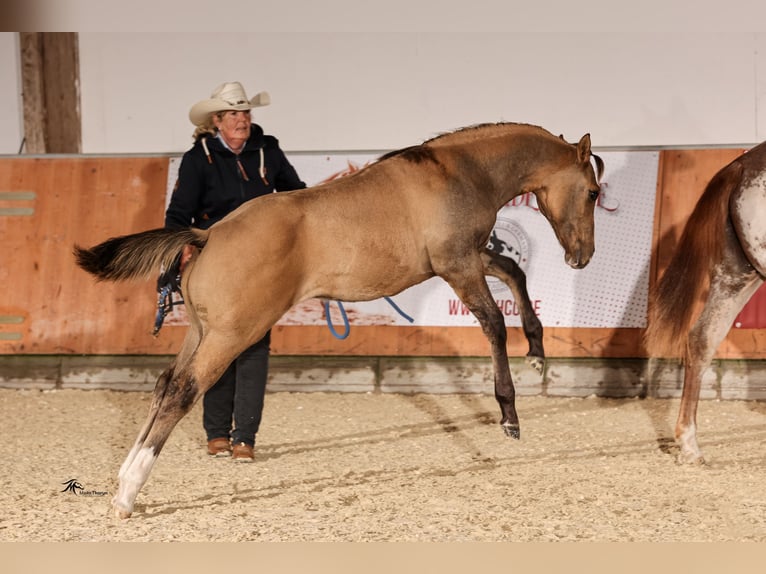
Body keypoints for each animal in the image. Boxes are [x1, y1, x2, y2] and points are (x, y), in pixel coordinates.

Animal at [75, 124, 604, 520]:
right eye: (594, 191)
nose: (582, 257)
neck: (459, 172)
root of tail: (207, 235)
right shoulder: (457, 264)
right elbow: (493, 323)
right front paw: (509, 416)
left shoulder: (468, 259)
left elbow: (514, 271)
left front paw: (537, 353)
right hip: (231, 335)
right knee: (183, 391)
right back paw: (127, 495)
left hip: (203, 332)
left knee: (165, 384)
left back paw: (121, 480)